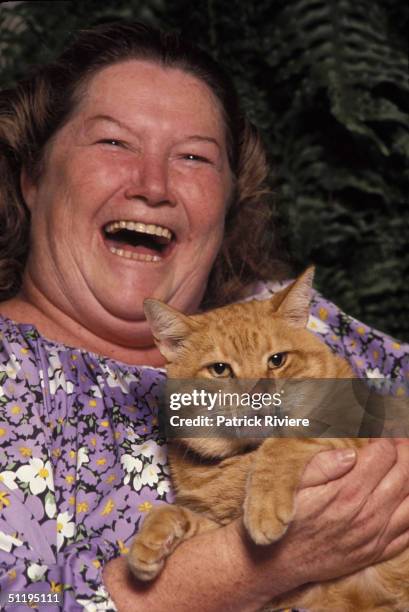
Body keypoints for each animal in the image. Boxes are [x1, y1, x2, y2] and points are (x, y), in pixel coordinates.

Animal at [127, 268, 408, 612]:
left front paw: (264, 509)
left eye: (277, 360)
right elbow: (170, 512)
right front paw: (147, 545)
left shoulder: (355, 431)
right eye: (220, 369)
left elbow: (282, 444)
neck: (237, 459)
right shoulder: (219, 527)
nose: (257, 396)